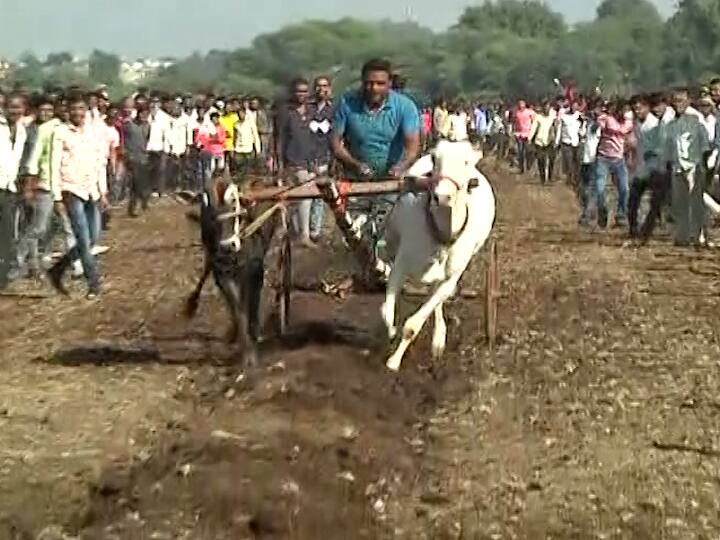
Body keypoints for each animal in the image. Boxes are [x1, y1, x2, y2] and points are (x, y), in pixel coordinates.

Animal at [382, 139, 496, 372]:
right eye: (435, 159)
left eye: (466, 162)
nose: (442, 196)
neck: (441, 236)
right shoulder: (401, 264)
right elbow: (387, 312)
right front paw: (391, 333)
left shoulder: (451, 278)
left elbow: (413, 325)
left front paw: (394, 361)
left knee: (437, 299)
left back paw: (438, 340)